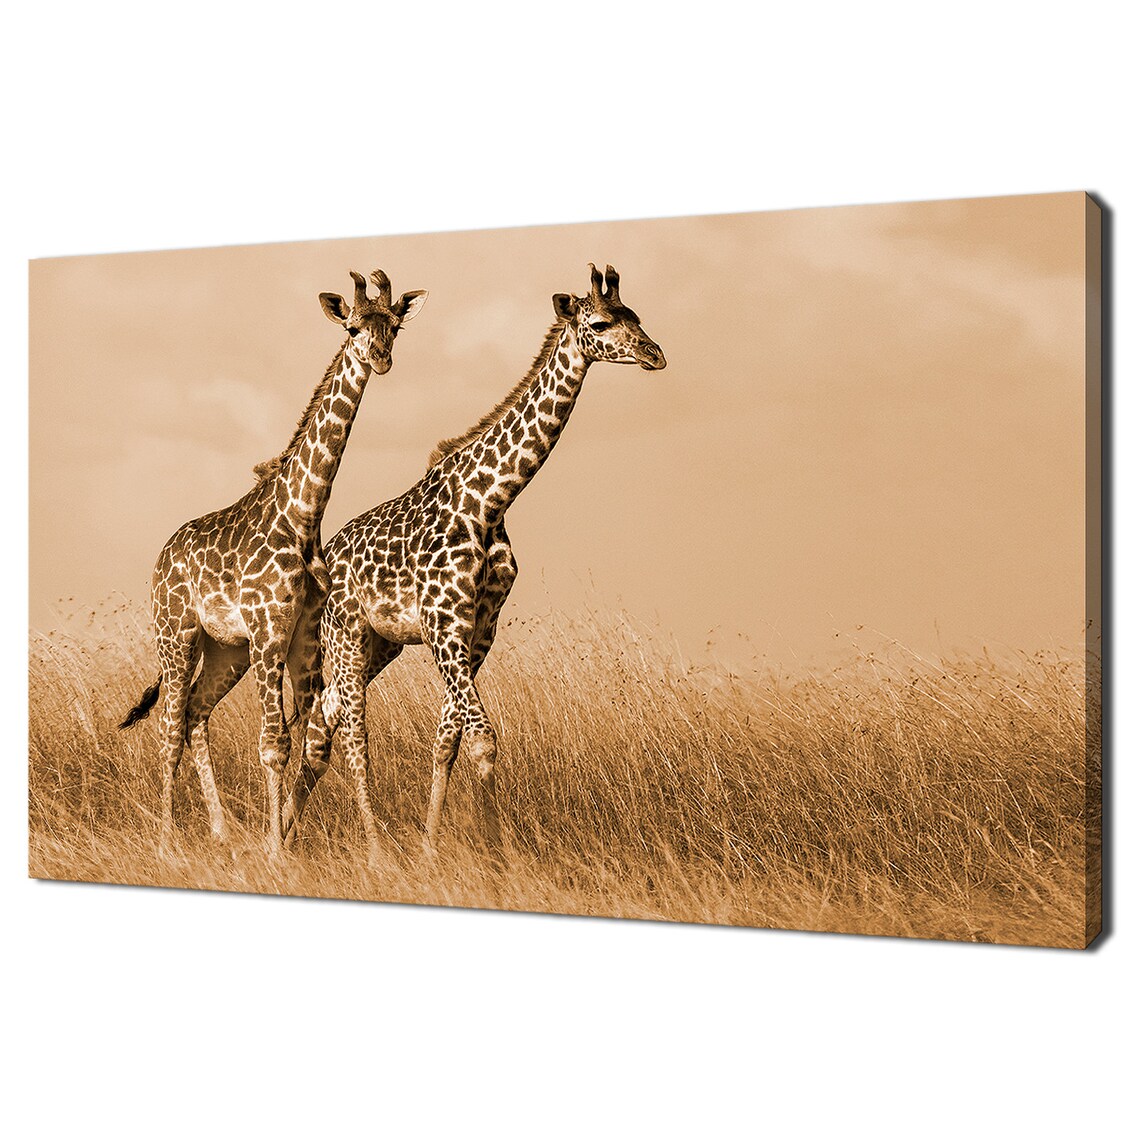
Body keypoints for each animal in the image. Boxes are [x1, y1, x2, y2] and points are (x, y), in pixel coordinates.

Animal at [119, 269, 427, 857]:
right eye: (353, 326)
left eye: (395, 326)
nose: (380, 357)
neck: (302, 516)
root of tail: (161, 557)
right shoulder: (270, 630)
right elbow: (273, 742)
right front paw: (275, 851)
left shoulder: (303, 636)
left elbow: (306, 738)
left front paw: (287, 838)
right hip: (178, 634)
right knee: (169, 726)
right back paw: (167, 839)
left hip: (226, 649)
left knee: (195, 713)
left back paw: (219, 830)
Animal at [281, 264, 666, 861]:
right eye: (601, 322)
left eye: (638, 316)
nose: (655, 354)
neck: (490, 501)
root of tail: (322, 564)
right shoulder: (445, 624)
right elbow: (483, 738)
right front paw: (498, 851)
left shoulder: (480, 626)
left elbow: (449, 739)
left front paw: (430, 849)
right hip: (346, 637)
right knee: (349, 733)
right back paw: (366, 850)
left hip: (380, 645)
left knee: (323, 727)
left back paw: (282, 839)